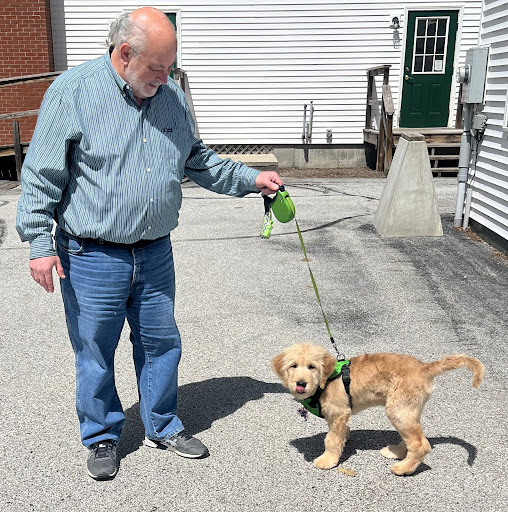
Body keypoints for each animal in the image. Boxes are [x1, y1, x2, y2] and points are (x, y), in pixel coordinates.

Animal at [272, 342, 482, 474]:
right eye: (293, 365)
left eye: (312, 366)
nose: (301, 383)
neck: (326, 381)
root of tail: (424, 367)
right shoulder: (342, 416)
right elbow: (341, 434)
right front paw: (344, 440)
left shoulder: (339, 414)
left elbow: (331, 440)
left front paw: (328, 460)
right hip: (407, 409)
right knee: (412, 438)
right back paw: (397, 453)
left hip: (398, 409)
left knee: (421, 444)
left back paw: (403, 468)